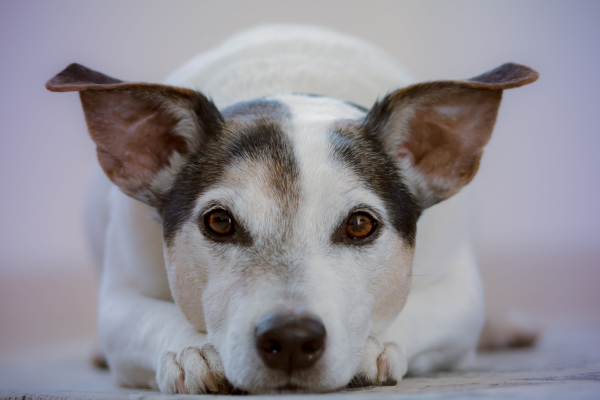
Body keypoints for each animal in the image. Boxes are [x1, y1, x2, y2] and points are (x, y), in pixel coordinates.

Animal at [44, 26, 536, 396]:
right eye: (218, 222)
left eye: (361, 224)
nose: (293, 339)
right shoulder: (119, 299)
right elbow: (147, 318)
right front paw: (192, 350)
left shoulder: (460, 294)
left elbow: (420, 309)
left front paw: (371, 345)